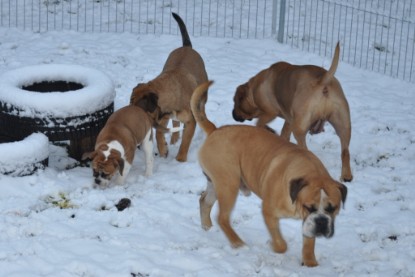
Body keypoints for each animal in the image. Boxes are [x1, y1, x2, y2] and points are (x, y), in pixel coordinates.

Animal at [131, 12, 210, 162]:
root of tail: (187, 47)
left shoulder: (190, 121)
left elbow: (186, 142)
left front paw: (180, 159)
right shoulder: (162, 117)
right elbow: (159, 133)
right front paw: (163, 149)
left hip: (202, 97)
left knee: (201, 110)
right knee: (175, 123)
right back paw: (174, 139)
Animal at [192, 81, 348, 266]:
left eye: (333, 208)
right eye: (309, 207)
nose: (322, 221)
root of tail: (214, 130)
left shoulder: (308, 224)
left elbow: (309, 243)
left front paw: (310, 263)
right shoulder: (269, 212)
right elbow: (281, 244)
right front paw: (273, 245)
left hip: (216, 184)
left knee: (204, 201)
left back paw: (207, 227)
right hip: (228, 184)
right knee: (222, 217)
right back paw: (238, 243)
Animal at [232, 41, 352, 181]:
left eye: (235, 102)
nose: (233, 114)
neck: (253, 89)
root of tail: (323, 81)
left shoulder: (270, 113)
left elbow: (259, 124)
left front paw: (268, 130)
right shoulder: (289, 119)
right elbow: (284, 133)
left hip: (299, 129)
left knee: (306, 148)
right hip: (343, 125)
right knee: (345, 151)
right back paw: (347, 176)